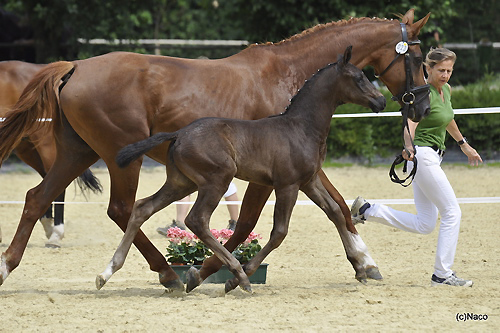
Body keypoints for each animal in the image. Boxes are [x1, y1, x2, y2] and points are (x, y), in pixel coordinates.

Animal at [98, 46, 386, 290]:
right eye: (358, 78)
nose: (382, 101)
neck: (301, 128)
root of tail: (178, 133)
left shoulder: (309, 182)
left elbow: (335, 211)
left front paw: (361, 269)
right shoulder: (288, 185)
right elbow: (279, 232)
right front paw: (239, 277)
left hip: (181, 183)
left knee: (142, 208)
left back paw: (108, 272)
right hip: (217, 179)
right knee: (196, 219)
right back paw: (232, 275)